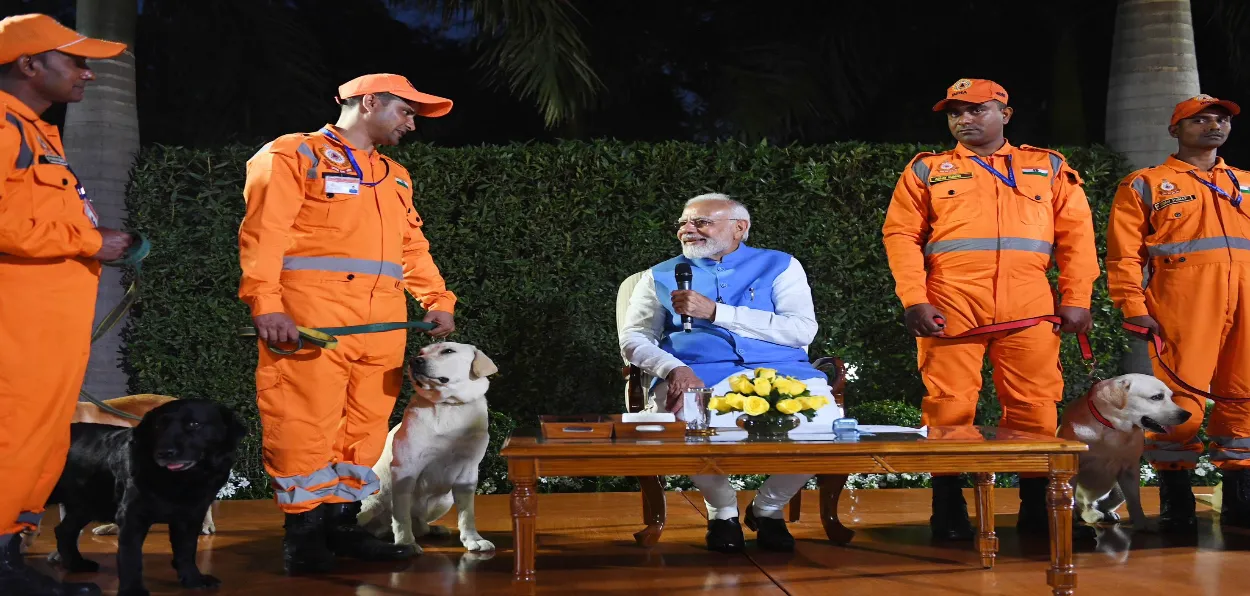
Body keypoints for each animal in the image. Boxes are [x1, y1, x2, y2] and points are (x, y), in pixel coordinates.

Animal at [46, 394, 246, 594]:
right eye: (158, 427)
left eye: (194, 424)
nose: (164, 452)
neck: (178, 481)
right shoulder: (132, 516)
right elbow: (131, 557)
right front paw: (133, 590)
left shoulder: (190, 516)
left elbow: (186, 550)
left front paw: (193, 579)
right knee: (64, 531)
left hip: (87, 504)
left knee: (65, 531)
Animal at [357, 342, 497, 554]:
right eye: (420, 352)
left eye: (448, 351)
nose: (415, 361)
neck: (448, 405)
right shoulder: (405, 469)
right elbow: (401, 516)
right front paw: (406, 542)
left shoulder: (468, 472)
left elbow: (467, 514)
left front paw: (473, 539)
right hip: (371, 502)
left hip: (445, 501)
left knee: (420, 524)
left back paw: (433, 529)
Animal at [1065, 372, 1190, 529]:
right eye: (1157, 397)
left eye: (1170, 396)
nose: (1187, 414)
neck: (1112, 428)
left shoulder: (1130, 470)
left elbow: (1134, 501)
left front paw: (1142, 524)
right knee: (1083, 506)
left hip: (1118, 489)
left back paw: (1106, 514)